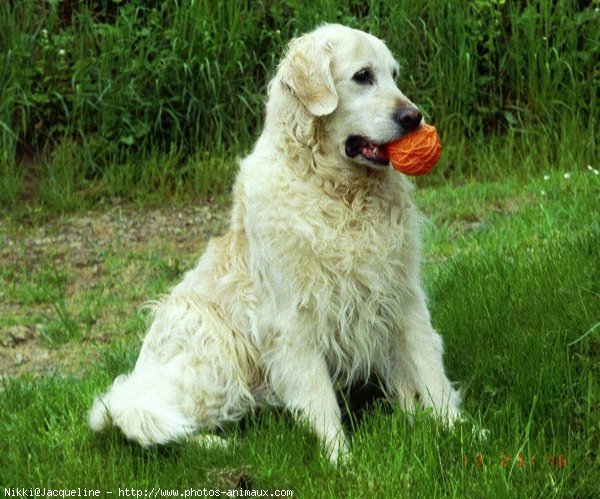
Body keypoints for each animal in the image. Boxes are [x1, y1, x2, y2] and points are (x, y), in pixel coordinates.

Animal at [91, 22, 462, 460]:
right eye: (363, 76)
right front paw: (340, 460)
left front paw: (460, 432)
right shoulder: (294, 317)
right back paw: (217, 444)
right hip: (214, 348)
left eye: (394, 75)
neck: (337, 191)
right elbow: (320, 398)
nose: (414, 117)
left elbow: (429, 365)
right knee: (145, 419)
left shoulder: (401, 292)